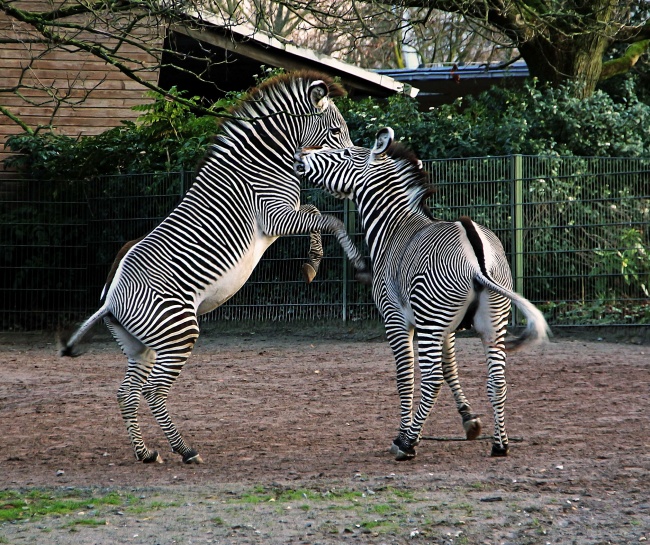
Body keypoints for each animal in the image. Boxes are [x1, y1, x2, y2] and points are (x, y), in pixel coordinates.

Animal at [60, 71, 370, 464]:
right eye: (335, 132)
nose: (353, 177)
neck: (264, 161)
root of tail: (110, 299)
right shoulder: (274, 217)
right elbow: (328, 219)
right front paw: (337, 263)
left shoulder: (283, 216)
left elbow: (318, 214)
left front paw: (313, 264)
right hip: (178, 332)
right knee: (154, 391)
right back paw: (185, 450)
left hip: (141, 346)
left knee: (127, 392)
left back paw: (146, 453)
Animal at [296, 127, 548, 460]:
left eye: (347, 153)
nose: (299, 154)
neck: (392, 229)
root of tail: (473, 245)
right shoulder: (448, 328)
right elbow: (451, 367)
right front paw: (470, 420)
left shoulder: (396, 319)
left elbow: (406, 377)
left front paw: (403, 434)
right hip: (491, 320)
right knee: (497, 380)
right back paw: (500, 444)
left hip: (431, 321)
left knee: (430, 380)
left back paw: (408, 444)